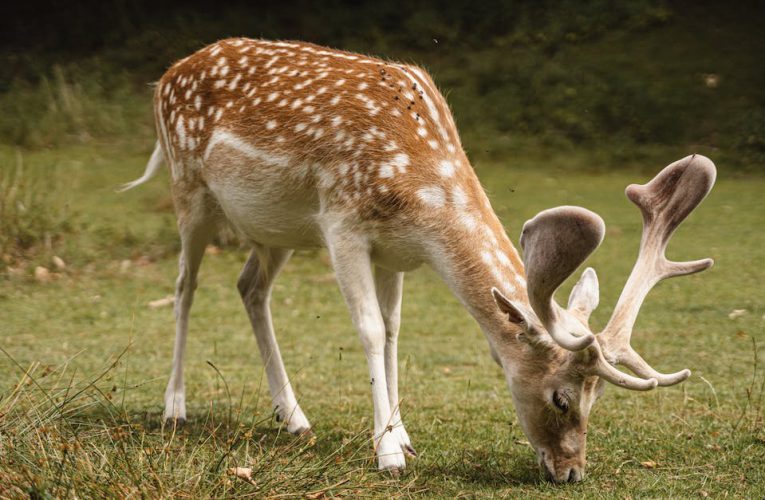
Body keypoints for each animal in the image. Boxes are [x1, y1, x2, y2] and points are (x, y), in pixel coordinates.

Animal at [121, 37, 716, 482]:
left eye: (599, 397)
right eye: (562, 398)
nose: (572, 472)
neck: (420, 197)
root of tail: (167, 74)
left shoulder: (397, 253)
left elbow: (392, 332)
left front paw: (403, 438)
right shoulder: (343, 225)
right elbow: (367, 330)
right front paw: (386, 456)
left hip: (275, 228)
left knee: (250, 287)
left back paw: (293, 416)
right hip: (189, 188)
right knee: (185, 286)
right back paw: (175, 407)